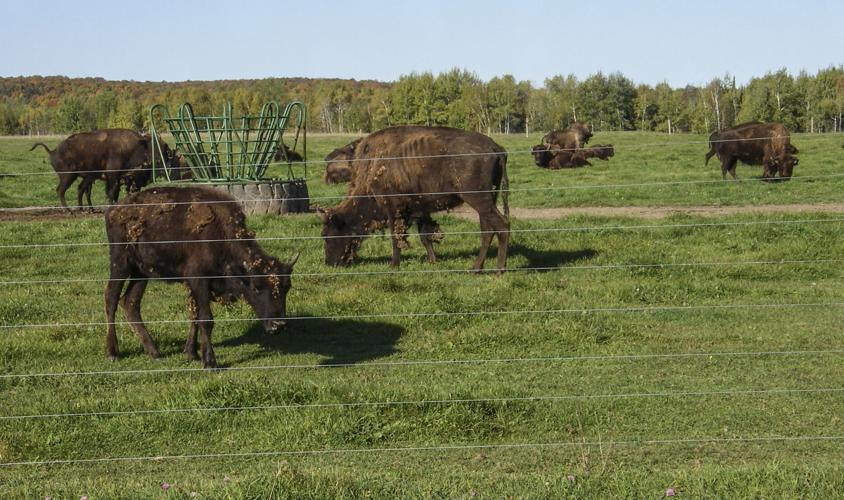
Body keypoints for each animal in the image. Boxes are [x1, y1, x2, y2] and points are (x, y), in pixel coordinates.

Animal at [104, 186, 298, 368]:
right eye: (256, 287)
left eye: (287, 288)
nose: (278, 325)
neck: (221, 235)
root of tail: (114, 210)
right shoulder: (199, 281)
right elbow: (206, 319)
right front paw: (210, 362)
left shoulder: (193, 285)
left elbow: (195, 316)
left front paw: (192, 354)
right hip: (120, 264)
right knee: (111, 299)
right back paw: (113, 352)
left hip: (141, 273)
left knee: (130, 303)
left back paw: (154, 352)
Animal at [321, 126, 509, 271]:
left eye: (328, 235)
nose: (330, 263)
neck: (373, 167)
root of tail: (495, 147)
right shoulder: (420, 210)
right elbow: (424, 236)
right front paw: (433, 261)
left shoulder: (393, 209)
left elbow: (396, 237)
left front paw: (394, 265)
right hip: (488, 200)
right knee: (487, 230)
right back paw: (476, 268)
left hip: (478, 199)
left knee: (502, 225)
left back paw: (499, 269)